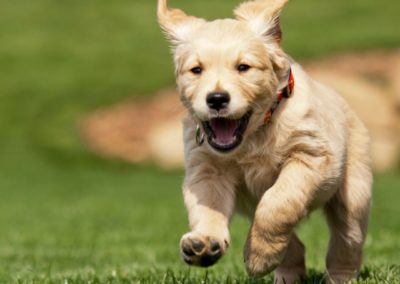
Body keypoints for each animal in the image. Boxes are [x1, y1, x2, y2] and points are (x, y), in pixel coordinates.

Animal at [156, 1, 372, 282]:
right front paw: (204, 242)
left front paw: (258, 258)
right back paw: (285, 276)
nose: (216, 99)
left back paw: (337, 277)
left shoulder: (311, 155)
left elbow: (277, 203)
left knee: (347, 241)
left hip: (354, 193)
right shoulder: (207, 171)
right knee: (295, 245)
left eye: (243, 67)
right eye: (196, 70)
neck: (254, 134)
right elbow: (208, 208)